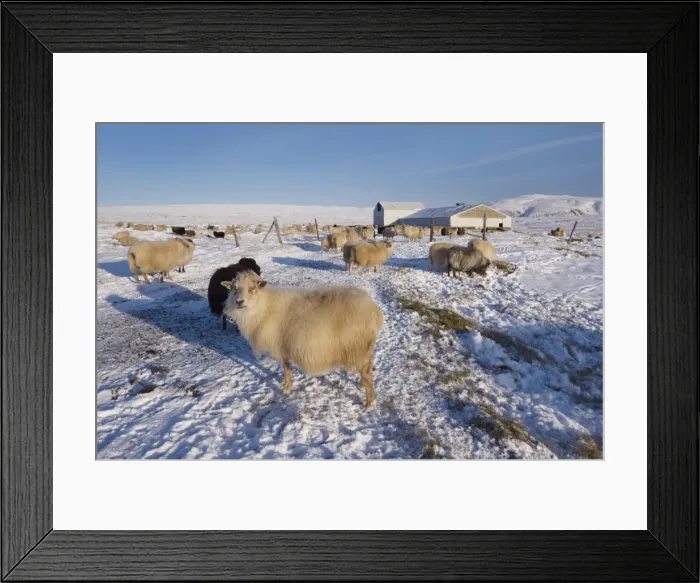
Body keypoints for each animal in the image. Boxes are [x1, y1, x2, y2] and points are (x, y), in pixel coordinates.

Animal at [221, 271, 383, 409]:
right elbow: (286, 368)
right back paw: (361, 385)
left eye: (252, 288)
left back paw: (370, 403)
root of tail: (373, 309)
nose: (239, 302)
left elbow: (286, 368)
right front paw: (285, 384)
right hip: (364, 347)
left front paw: (287, 388)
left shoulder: (281, 346)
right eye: (234, 288)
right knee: (368, 367)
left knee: (367, 372)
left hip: (358, 346)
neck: (265, 306)